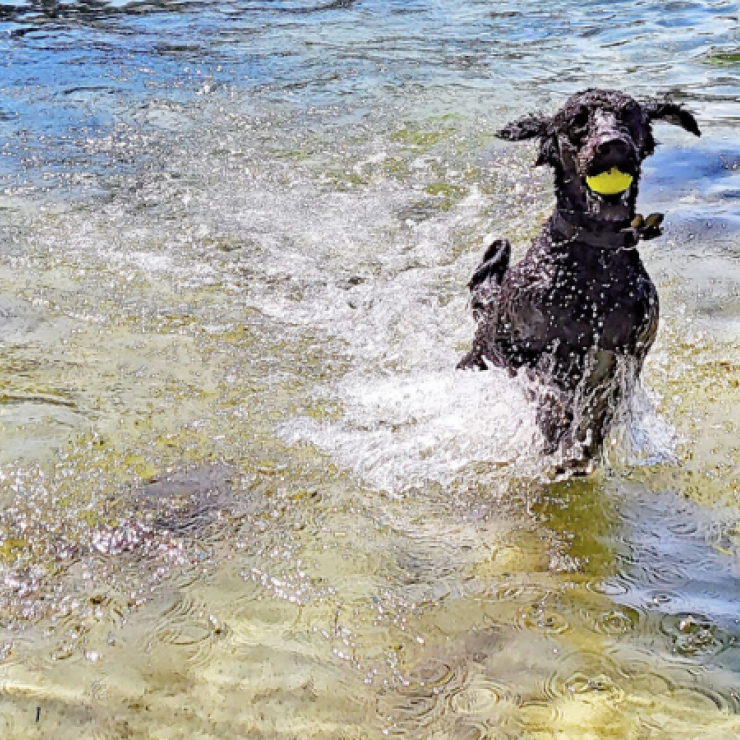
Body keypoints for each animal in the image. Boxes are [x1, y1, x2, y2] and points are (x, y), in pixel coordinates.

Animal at [456, 89, 700, 462]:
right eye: (577, 121)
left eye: (628, 115)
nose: (612, 144)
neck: (594, 263)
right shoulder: (526, 351)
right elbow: (551, 396)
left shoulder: (627, 354)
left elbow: (601, 406)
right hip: (481, 355)